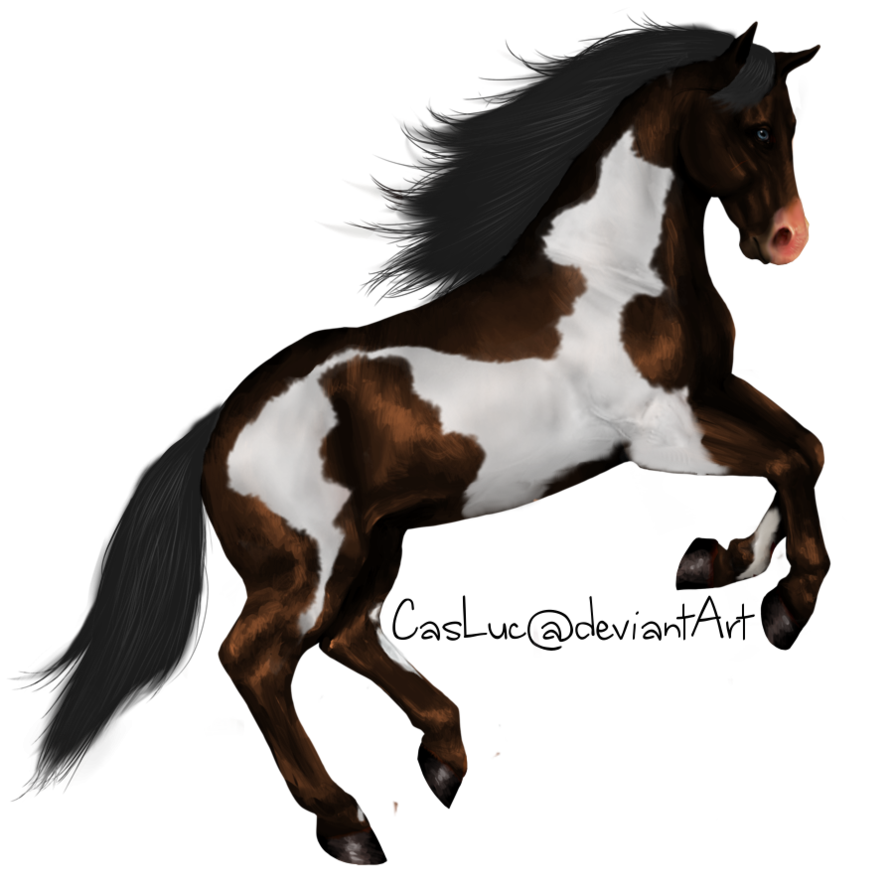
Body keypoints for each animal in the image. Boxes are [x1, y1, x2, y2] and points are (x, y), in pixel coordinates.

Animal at [8, 12, 829, 866]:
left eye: (796, 126)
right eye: (756, 128)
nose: (790, 239)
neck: (617, 277)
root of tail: (221, 419)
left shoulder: (716, 391)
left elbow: (808, 448)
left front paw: (730, 568)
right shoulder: (658, 433)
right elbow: (787, 460)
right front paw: (781, 600)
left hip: (380, 540)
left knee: (348, 637)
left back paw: (444, 762)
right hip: (309, 563)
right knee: (257, 660)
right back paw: (349, 824)